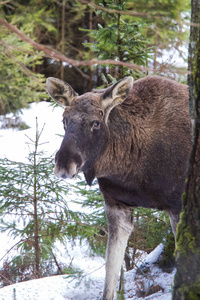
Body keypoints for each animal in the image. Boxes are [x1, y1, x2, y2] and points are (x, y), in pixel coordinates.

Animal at [46, 75, 191, 300]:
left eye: (96, 123)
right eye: (64, 120)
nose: (64, 164)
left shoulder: (177, 205)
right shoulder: (116, 204)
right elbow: (110, 271)